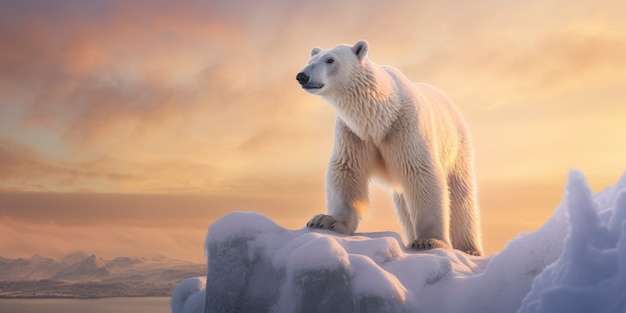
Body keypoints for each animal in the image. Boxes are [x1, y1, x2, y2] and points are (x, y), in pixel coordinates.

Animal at [294, 39, 480, 254]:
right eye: (310, 60)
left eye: (330, 60)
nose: (302, 76)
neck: (380, 116)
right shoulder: (353, 133)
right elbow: (346, 169)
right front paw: (326, 220)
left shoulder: (406, 128)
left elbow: (421, 173)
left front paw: (428, 240)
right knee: (404, 203)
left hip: (456, 145)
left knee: (460, 194)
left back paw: (469, 249)